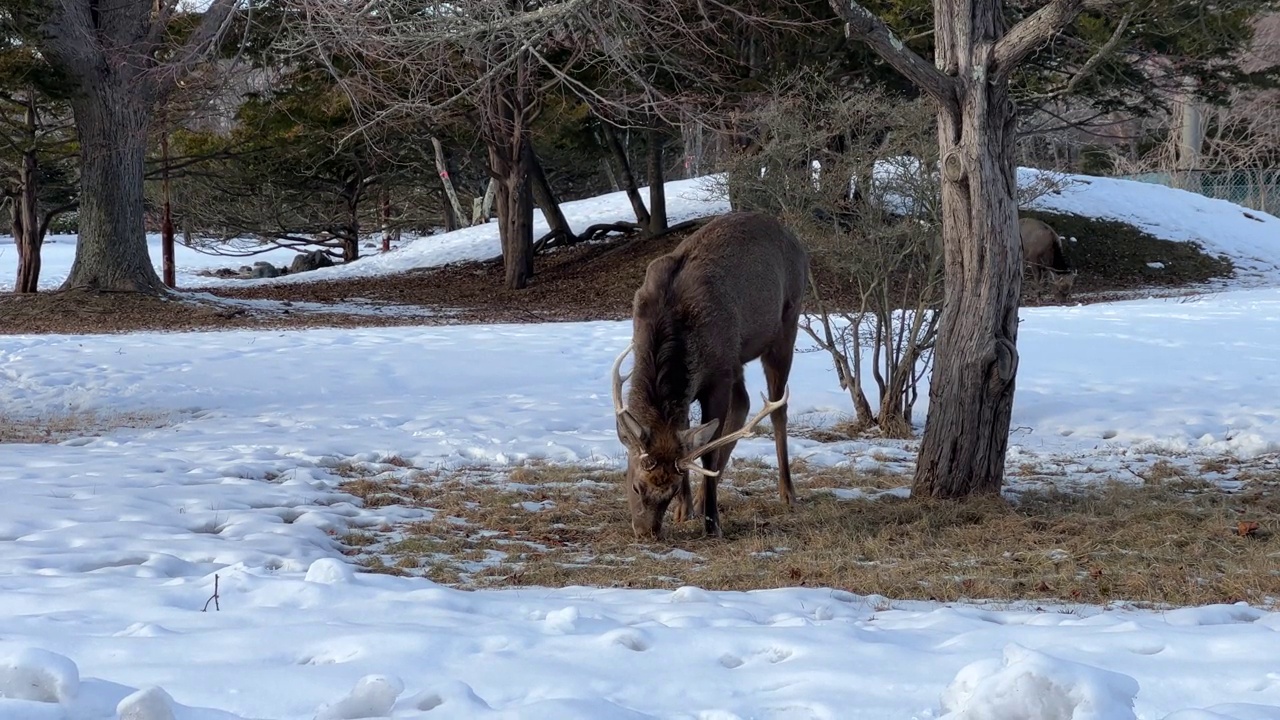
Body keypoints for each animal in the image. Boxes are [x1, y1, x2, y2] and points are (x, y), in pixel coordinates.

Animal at [611, 210, 808, 535]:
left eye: (670, 490)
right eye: (637, 486)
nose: (647, 532)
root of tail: (793, 238)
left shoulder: (717, 378)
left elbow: (706, 451)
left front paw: (712, 522)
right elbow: (691, 437)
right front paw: (686, 509)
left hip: (785, 325)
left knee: (777, 407)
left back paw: (788, 492)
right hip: (736, 357)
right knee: (743, 403)